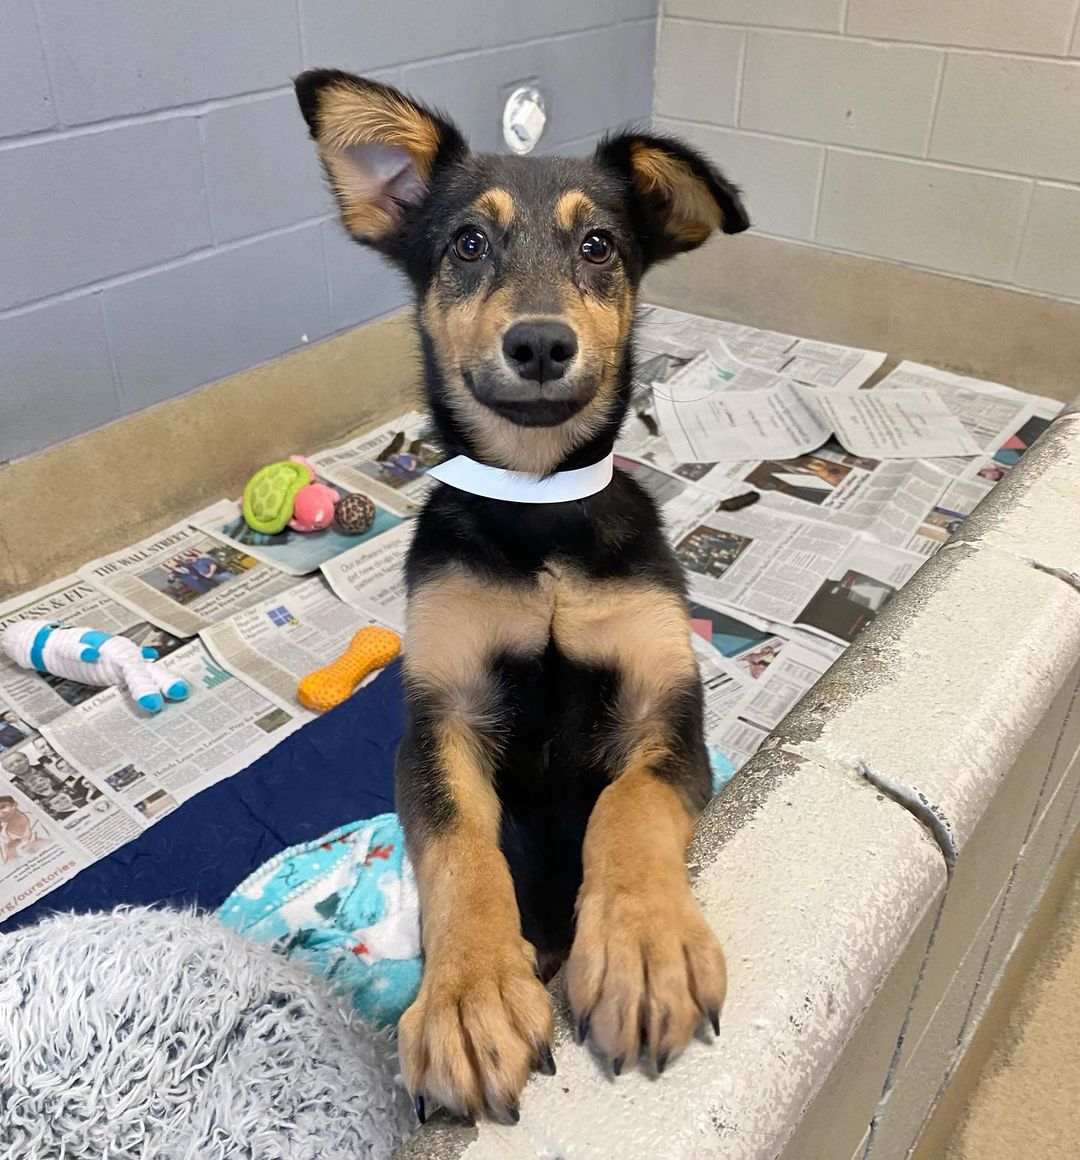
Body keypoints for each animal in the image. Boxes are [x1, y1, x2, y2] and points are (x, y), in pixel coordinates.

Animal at [295, 72, 751, 1122]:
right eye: (468, 243)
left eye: (600, 246)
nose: (540, 345)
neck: (540, 510)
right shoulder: (442, 719)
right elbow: (464, 850)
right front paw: (468, 996)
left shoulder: (667, 708)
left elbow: (628, 802)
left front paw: (643, 946)